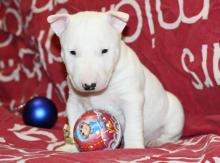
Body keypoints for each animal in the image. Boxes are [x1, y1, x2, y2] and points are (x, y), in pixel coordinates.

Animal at [47, 11, 184, 152]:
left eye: (104, 50)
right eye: (72, 52)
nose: (89, 85)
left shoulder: (131, 99)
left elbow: (132, 126)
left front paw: (133, 147)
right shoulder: (75, 101)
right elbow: (74, 120)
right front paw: (70, 147)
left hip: (175, 114)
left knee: (170, 136)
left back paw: (156, 141)